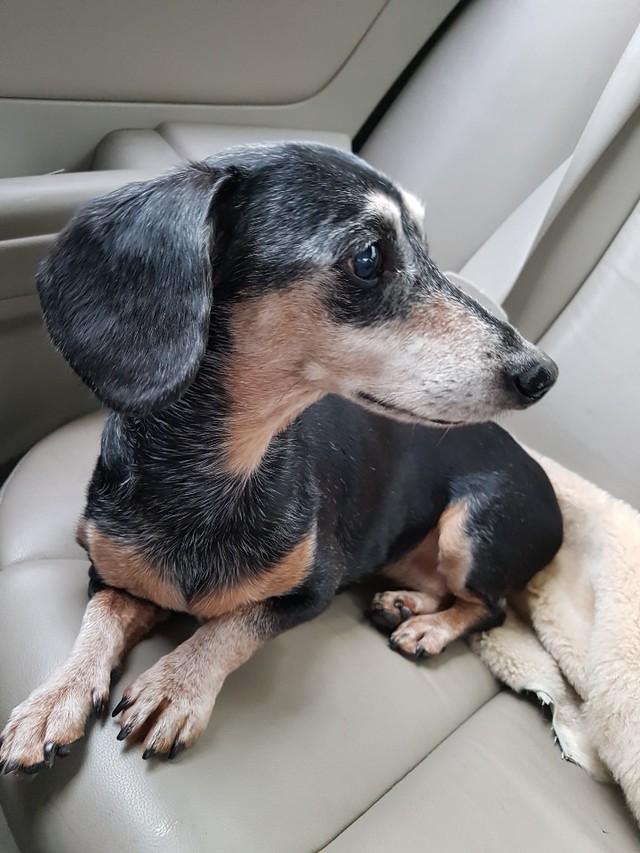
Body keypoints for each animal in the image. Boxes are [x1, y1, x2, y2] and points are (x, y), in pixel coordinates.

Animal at [0, 142, 562, 772]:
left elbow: (231, 625)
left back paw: (428, 630)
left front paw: (176, 685)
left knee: (489, 608)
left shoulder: (312, 589)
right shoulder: (110, 574)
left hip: (475, 529)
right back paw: (407, 604)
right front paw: (55, 698)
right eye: (368, 257)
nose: (543, 373)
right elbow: (97, 625)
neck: (219, 469)